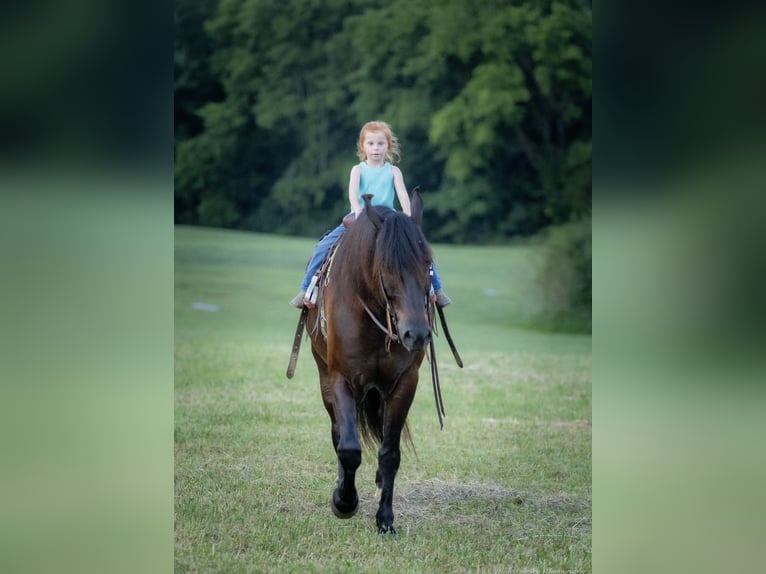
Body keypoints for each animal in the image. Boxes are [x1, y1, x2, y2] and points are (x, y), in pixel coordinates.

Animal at [308, 192, 438, 536]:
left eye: (427, 264)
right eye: (386, 268)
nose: (416, 333)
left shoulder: (404, 383)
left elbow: (390, 453)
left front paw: (385, 519)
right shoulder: (341, 379)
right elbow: (349, 448)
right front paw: (344, 502)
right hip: (326, 378)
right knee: (339, 433)